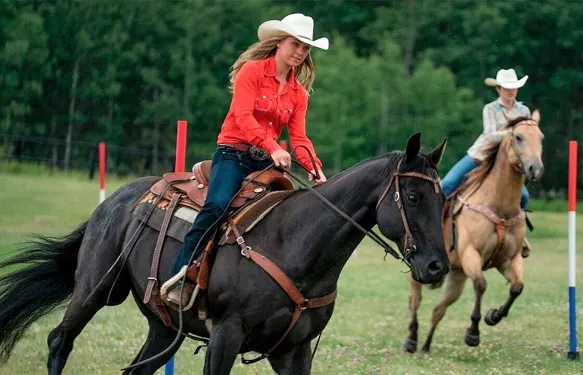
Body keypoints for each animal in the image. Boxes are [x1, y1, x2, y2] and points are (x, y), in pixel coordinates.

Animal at [0, 134, 448, 374]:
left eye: (443, 198)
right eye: (412, 196)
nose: (436, 266)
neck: (295, 244)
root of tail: (116, 201)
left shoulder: (294, 350)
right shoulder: (225, 336)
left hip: (165, 328)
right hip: (95, 288)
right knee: (59, 340)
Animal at [404, 111, 544, 352]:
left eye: (541, 137)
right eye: (518, 137)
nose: (535, 168)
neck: (499, 207)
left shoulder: (509, 259)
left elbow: (517, 287)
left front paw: (493, 316)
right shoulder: (471, 254)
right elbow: (480, 284)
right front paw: (473, 333)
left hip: (457, 275)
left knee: (439, 310)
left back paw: (426, 346)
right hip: (421, 271)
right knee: (416, 301)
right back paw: (411, 340)